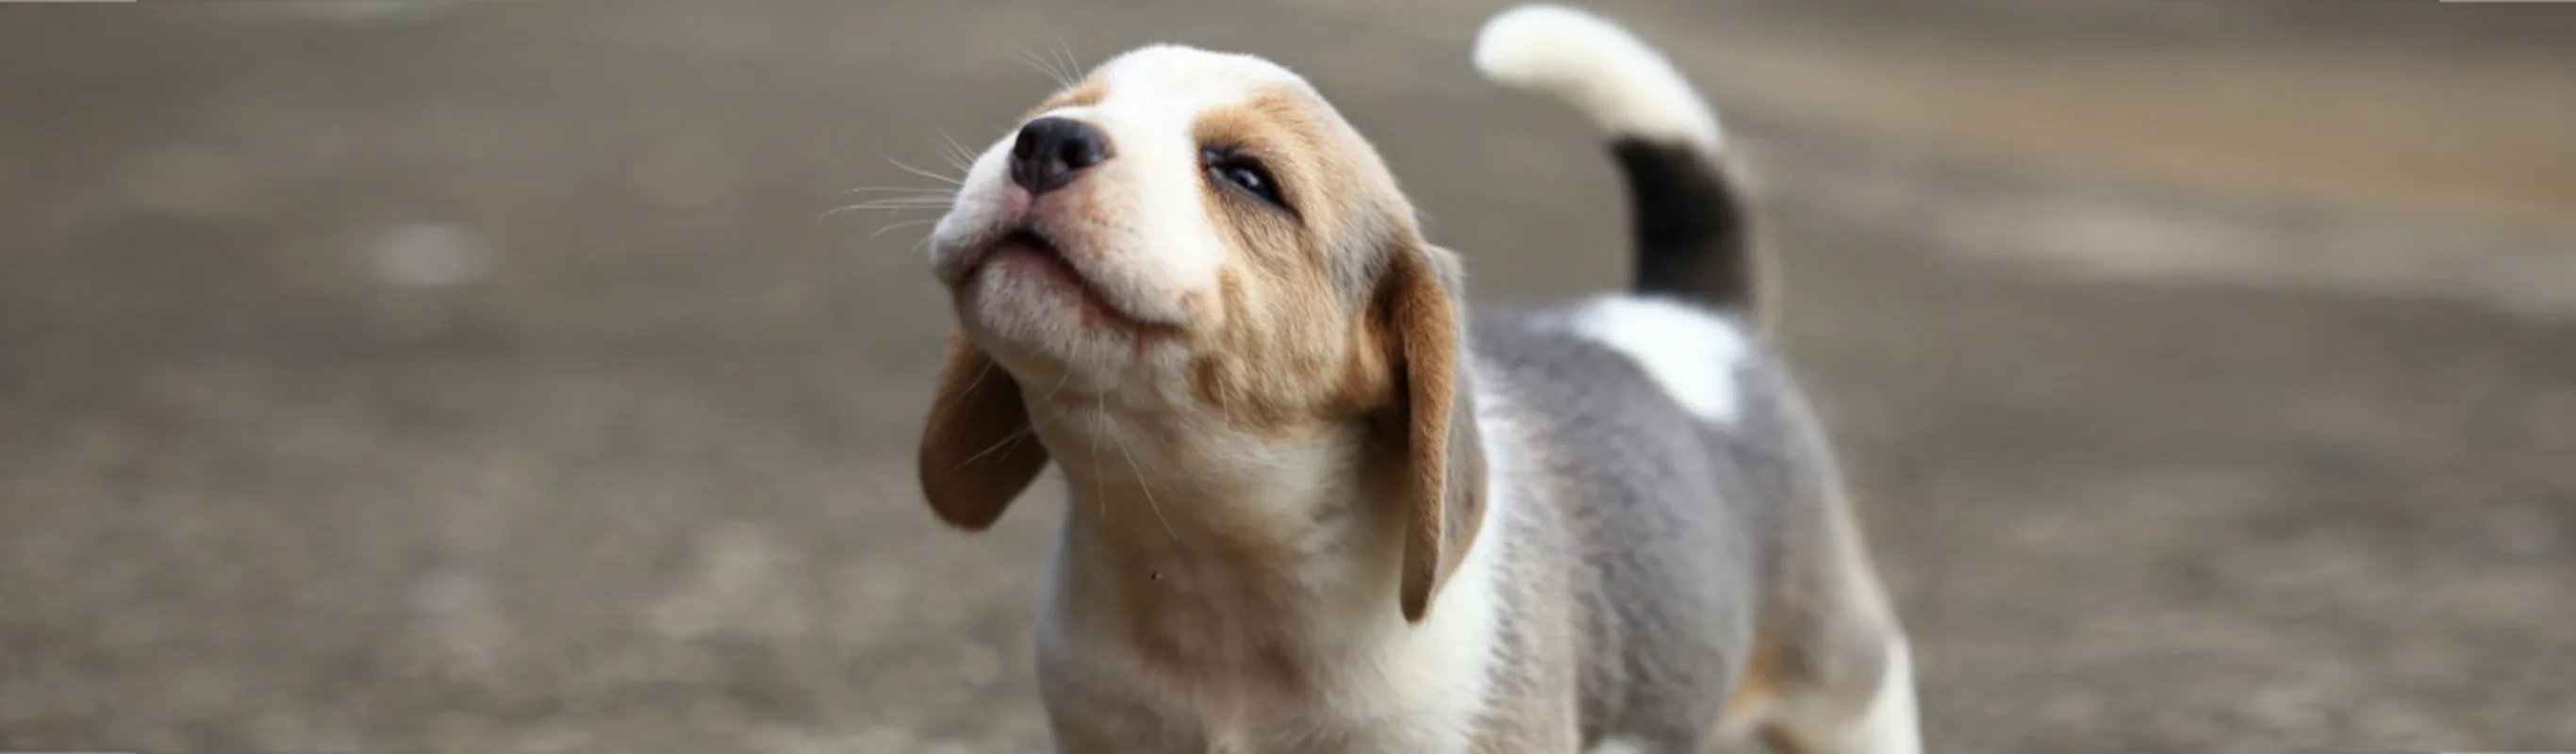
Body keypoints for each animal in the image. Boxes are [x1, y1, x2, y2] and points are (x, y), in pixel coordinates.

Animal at [916, 7, 1926, 751]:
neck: (1213, 562)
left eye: (1245, 175)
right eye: (1065, 106)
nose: (1045, 141)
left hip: (1846, 699)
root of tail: (1697, 315)